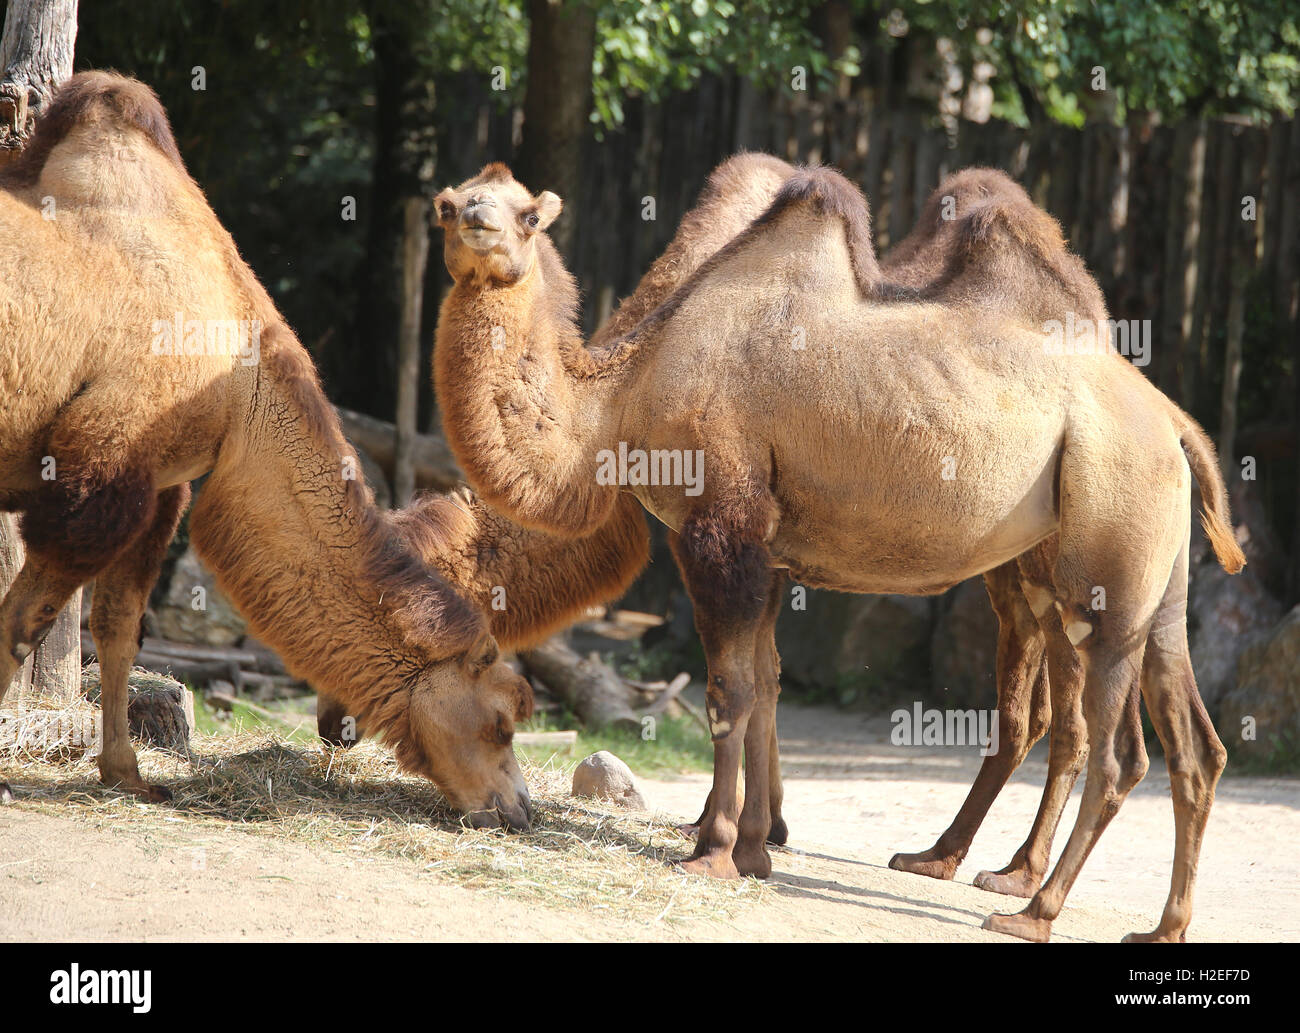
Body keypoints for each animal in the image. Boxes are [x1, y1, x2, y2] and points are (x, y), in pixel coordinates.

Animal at [0, 70, 644, 831]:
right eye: (502, 721)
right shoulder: (98, 468)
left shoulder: (157, 482)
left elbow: (117, 627)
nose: (517, 809)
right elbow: (23, 620)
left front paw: (127, 775)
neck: (240, 385)